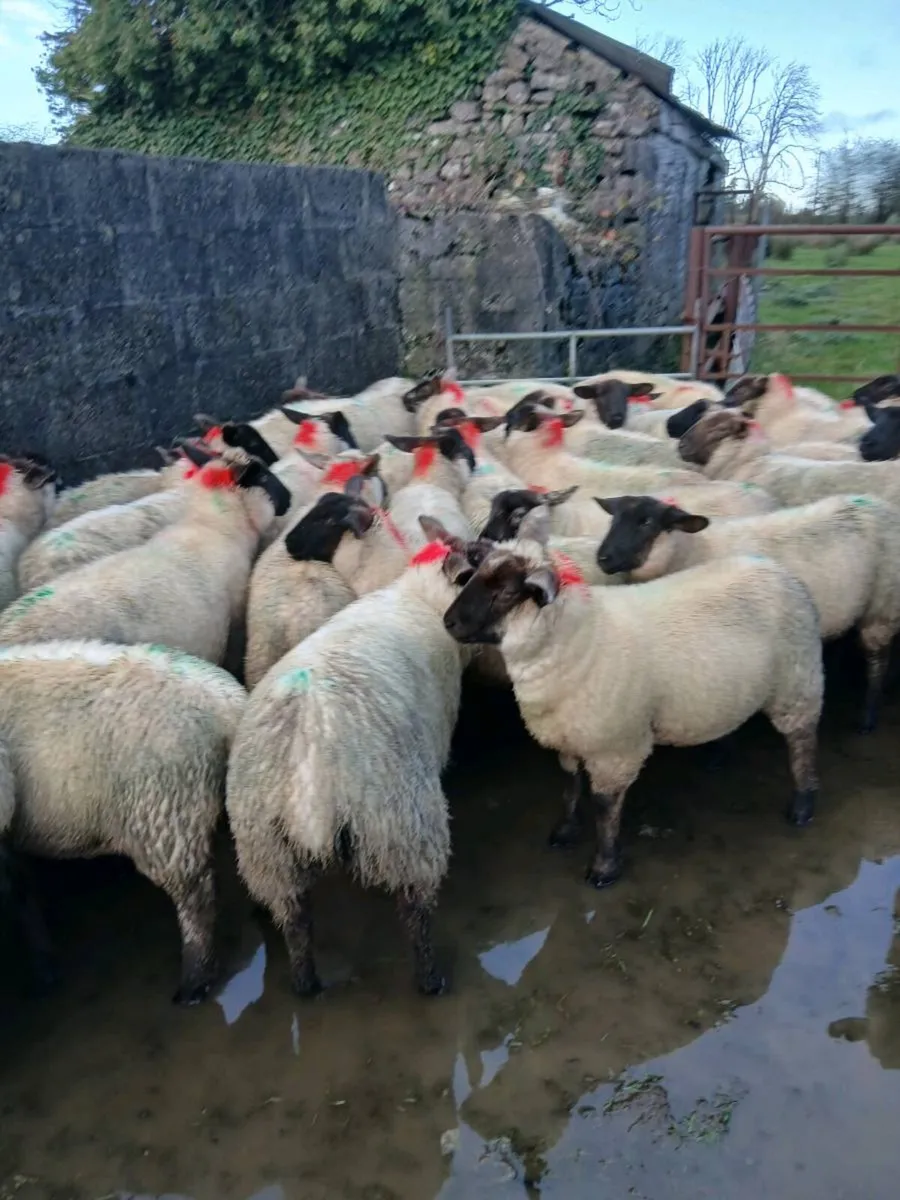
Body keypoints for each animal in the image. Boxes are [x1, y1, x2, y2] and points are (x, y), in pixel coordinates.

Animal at [0, 639, 246, 1003]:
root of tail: (228, 704)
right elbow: (23, 893)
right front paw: (45, 966)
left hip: (166, 818)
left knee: (196, 900)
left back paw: (193, 985)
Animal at [226, 516, 479, 996]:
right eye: (482, 561)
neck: (419, 597)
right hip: (402, 824)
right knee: (416, 910)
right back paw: (430, 979)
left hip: (265, 850)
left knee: (295, 921)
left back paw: (306, 985)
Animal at [443, 538, 824, 888]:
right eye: (472, 576)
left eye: (507, 592)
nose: (449, 622)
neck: (578, 638)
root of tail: (784, 574)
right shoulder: (570, 738)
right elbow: (569, 787)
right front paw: (565, 830)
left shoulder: (615, 748)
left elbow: (604, 808)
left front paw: (604, 866)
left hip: (797, 683)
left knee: (802, 743)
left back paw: (802, 806)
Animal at [595, 492, 900, 730]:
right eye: (613, 518)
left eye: (646, 522)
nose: (603, 558)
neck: (693, 550)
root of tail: (881, 505)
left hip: (882, 606)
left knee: (879, 659)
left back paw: (868, 717)